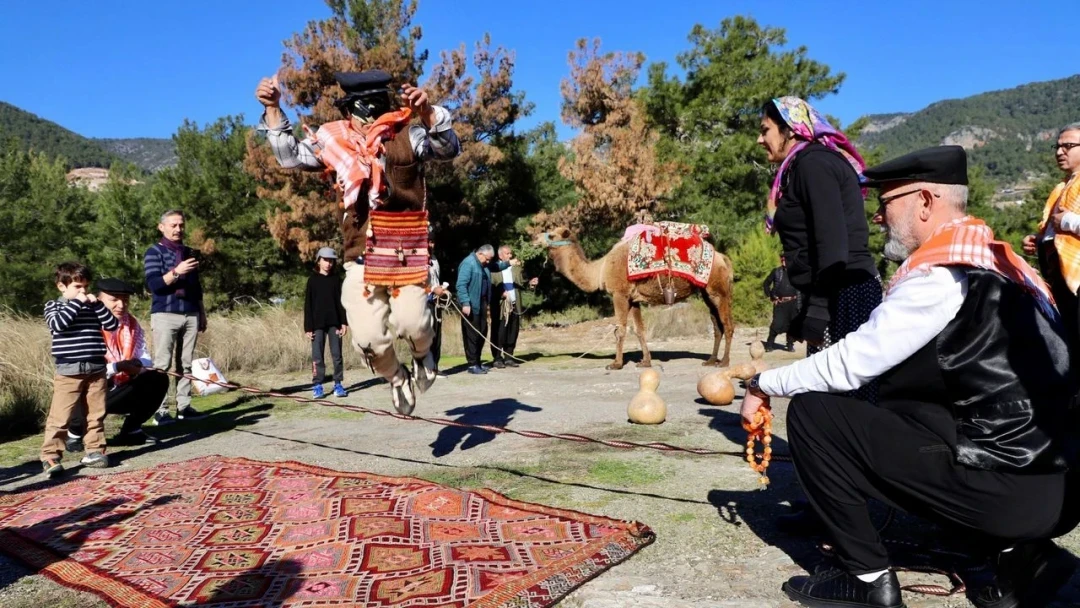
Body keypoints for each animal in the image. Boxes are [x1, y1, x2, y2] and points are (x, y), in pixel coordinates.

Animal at [537, 228, 738, 371]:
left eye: (551, 234)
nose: (535, 238)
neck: (600, 270)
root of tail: (723, 259)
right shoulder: (633, 299)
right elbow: (639, 330)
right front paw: (645, 361)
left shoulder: (619, 293)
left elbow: (620, 330)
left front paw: (615, 364)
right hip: (706, 292)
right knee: (717, 326)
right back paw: (710, 361)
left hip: (719, 290)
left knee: (727, 325)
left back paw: (724, 362)